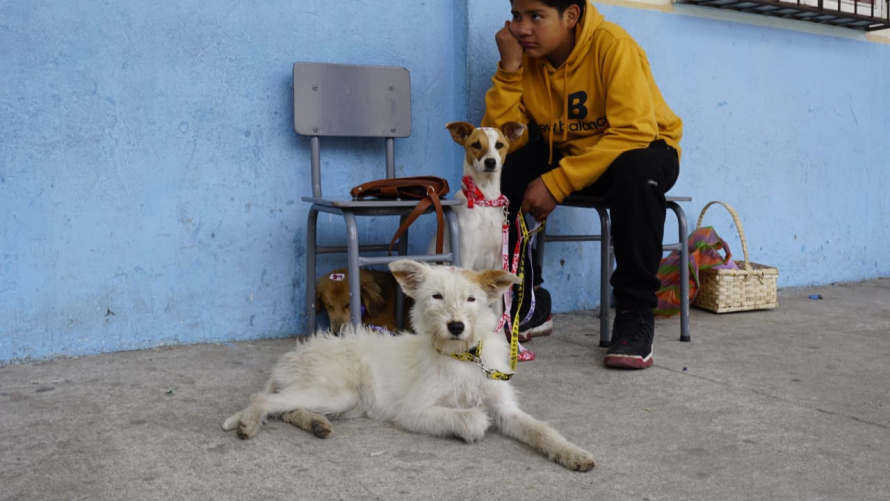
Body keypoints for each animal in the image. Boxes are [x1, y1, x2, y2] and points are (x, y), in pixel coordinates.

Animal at [222, 260, 596, 470]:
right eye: (436, 297)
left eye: (472, 299)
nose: (456, 326)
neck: (462, 357)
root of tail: (292, 357)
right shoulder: (413, 412)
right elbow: (471, 418)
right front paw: (473, 422)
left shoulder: (506, 409)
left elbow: (541, 430)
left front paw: (573, 453)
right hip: (337, 392)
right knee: (263, 399)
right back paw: (249, 423)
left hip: (344, 402)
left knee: (286, 409)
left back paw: (315, 424)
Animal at [432, 120, 524, 272]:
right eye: (476, 144)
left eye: (499, 145)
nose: (490, 162)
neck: (485, 200)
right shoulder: (465, 258)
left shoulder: (499, 260)